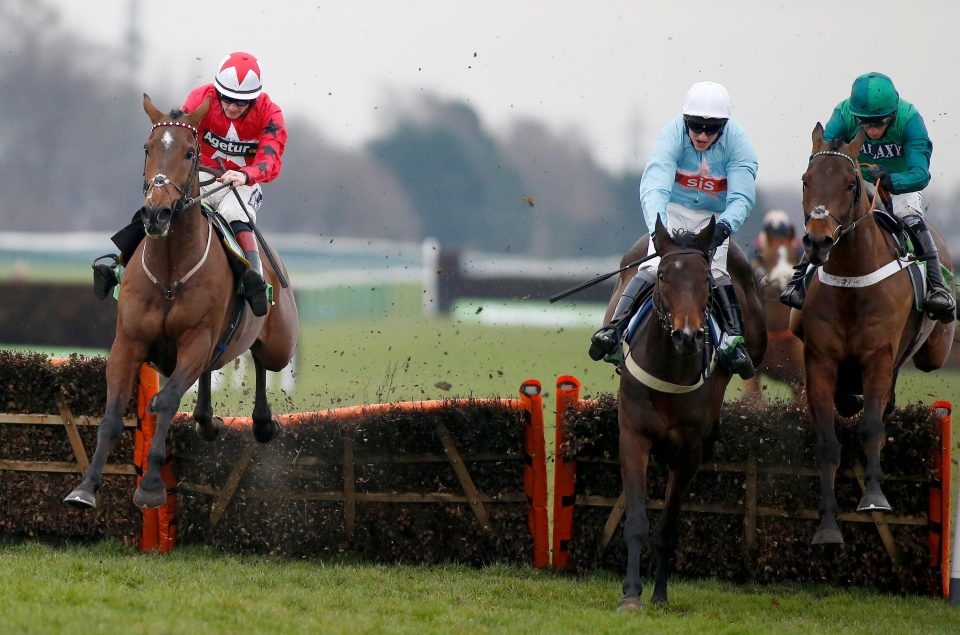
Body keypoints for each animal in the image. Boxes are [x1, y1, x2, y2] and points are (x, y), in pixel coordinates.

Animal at [65, 94, 298, 512]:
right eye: (147, 148)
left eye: (191, 152)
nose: (155, 213)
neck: (172, 270)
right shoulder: (128, 342)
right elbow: (112, 414)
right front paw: (85, 487)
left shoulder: (196, 340)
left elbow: (167, 400)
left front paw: (151, 487)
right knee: (212, 375)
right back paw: (207, 420)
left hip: (278, 344)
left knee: (260, 361)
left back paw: (262, 421)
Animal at [616, 216, 764, 608]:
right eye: (663, 274)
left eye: (705, 280)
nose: (687, 336)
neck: (670, 368)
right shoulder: (634, 435)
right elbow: (637, 521)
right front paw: (631, 594)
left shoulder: (690, 451)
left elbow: (667, 529)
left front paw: (659, 595)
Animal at [788, 124, 952, 548]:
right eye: (805, 179)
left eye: (850, 184)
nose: (818, 242)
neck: (851, 279)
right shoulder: (820, 360)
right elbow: (827, 442)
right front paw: (828, 523)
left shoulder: (877, 356)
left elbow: (872, 426)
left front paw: (874, 496)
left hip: (932, 351)